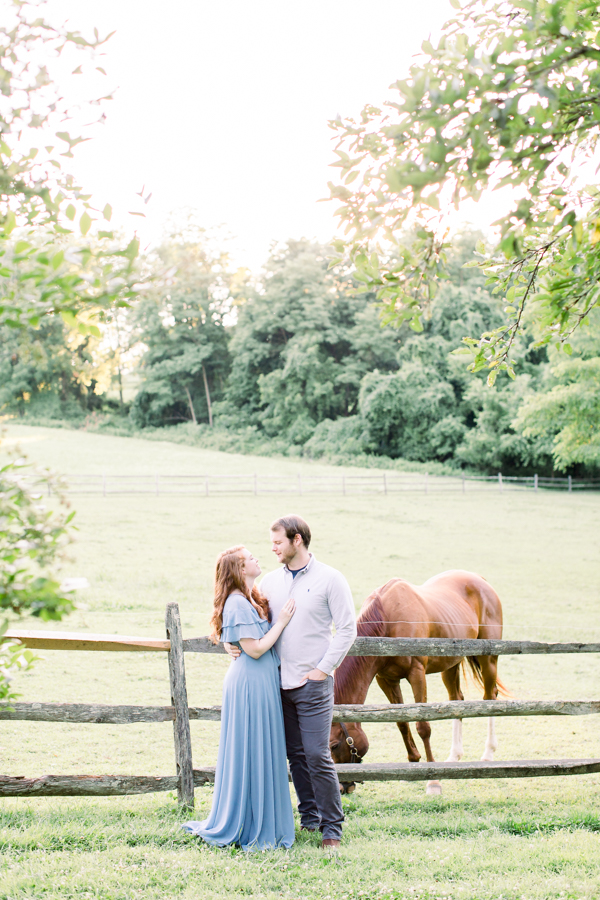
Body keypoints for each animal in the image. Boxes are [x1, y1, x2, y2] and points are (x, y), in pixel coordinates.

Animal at [330, 568, 504, 796]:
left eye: (333, 746)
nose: (342, 787)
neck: (387, 622)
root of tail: (480, 580)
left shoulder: (417, 674)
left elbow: (423, 726)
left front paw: (433, 780)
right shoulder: (386, 679)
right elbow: (401, 722)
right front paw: (413, 763)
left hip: (488, 659)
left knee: (489, 698)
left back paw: (488, 754)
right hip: (450, 665)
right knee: (456, 701)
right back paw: (454, 757)